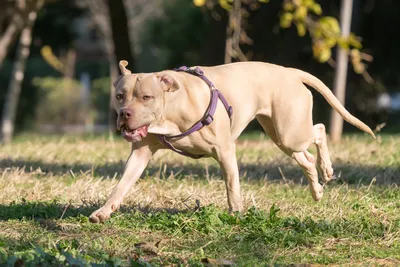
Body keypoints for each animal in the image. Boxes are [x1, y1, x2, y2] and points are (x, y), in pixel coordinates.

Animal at [88, 60, 376, 224]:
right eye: (120, 96)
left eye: (146, 97)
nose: (125, 114)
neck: (171, 108)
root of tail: (289, 72)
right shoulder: (140, 153)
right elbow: (122, 185)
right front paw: (104, 211)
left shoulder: (225, 150)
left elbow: (231, 186)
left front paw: (236, 214)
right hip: (281, 136)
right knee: (305, 158)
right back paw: (316, 190)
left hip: (290, 131)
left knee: (319, 130)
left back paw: (326, 169)